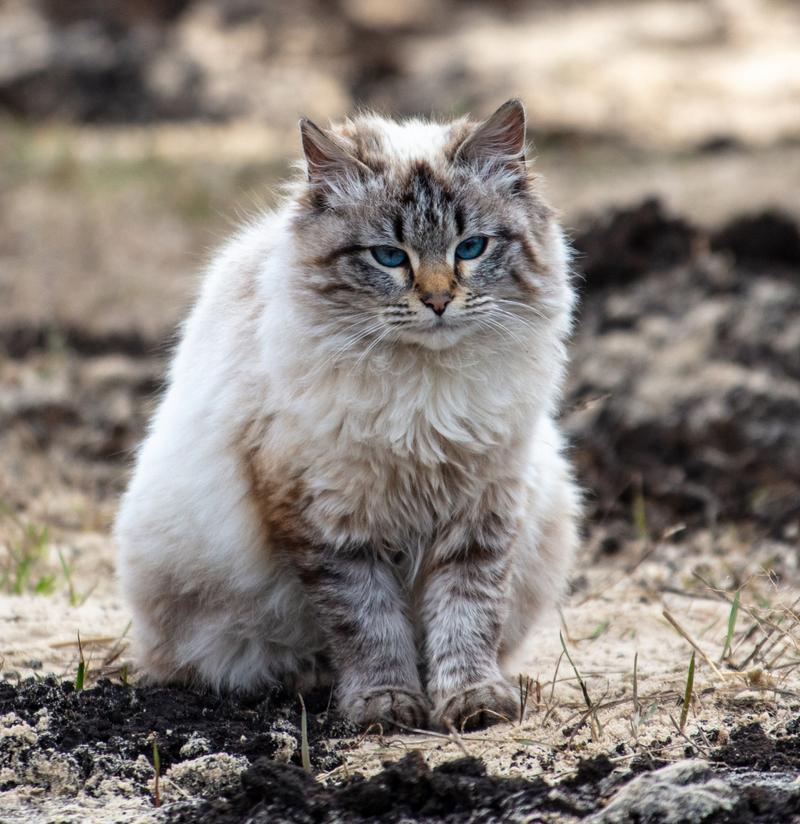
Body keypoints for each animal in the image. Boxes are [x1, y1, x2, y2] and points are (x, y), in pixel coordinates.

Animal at [115, 100, 580, 732]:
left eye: (470, 249)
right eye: (389, 256)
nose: (438, 301)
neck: (424, 396)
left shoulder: (481, 514)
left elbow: (466, 619)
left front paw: (473, 703)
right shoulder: (334, 525)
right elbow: (369, 625)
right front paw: (388, 706)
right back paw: (310, 681)